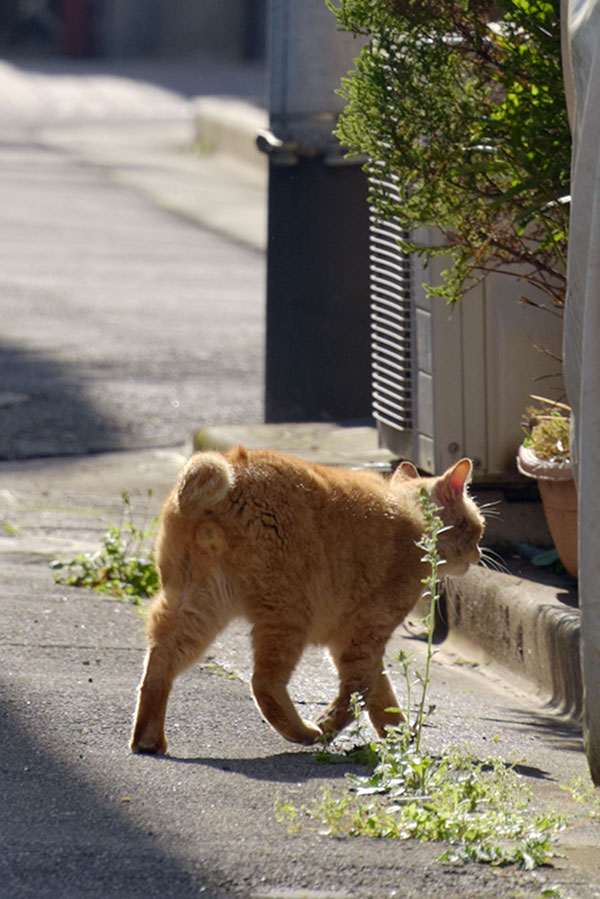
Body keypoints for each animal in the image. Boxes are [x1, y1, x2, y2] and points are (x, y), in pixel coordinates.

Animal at [131, 448, 482, 752]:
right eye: (477, 529)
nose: (479, 554)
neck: (414, 518)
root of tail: (230, 464)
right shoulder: (360, 638)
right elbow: (360, 693)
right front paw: (329, 725)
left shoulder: (356, 642)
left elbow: (381, 697)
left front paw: (400, 739)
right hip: (288, 614)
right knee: (264, 683)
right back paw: (303, 731)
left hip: (195, 605)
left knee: (159, 663)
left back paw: (147, 740)